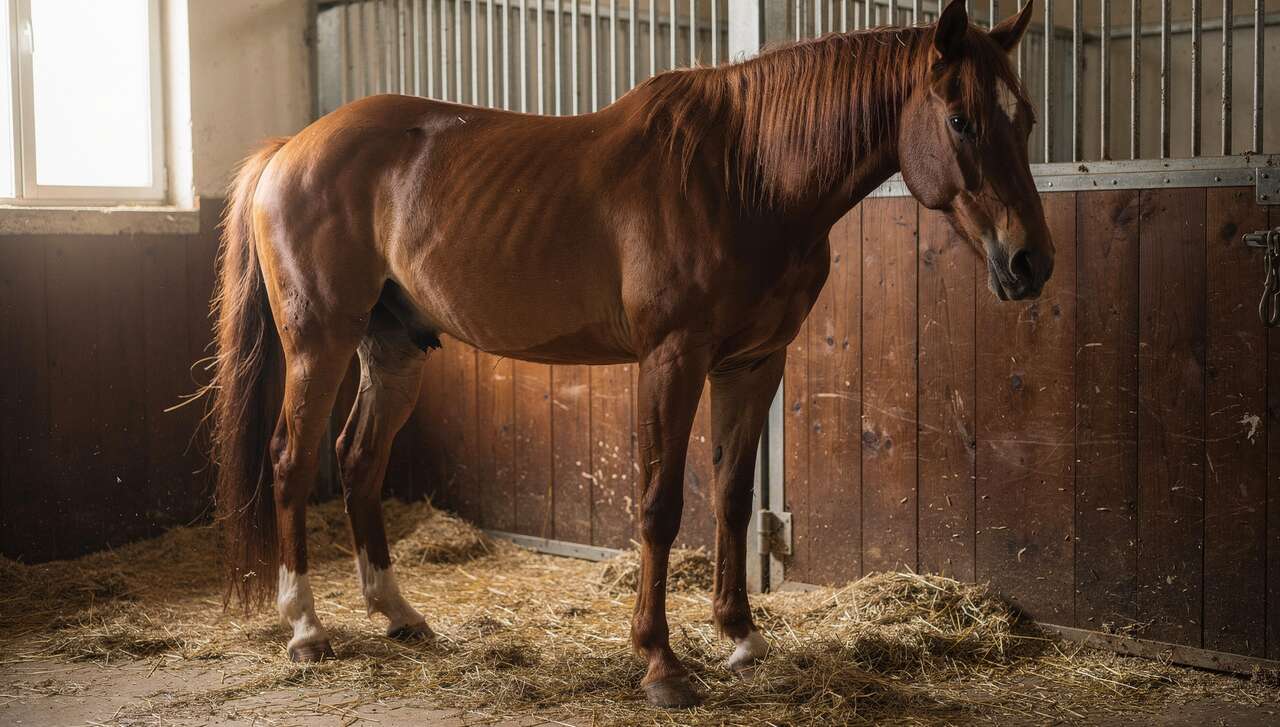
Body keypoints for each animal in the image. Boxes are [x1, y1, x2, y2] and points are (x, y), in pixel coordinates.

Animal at [208, 0, 1048, 707]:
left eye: (1027, 117)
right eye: (962, 119)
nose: (1030, 263)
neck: (747, 174)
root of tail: (290, 149)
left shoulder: (754, 363)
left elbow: (733, 497)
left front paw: (742, 639)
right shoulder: (672, 359)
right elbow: (659, 504)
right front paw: (661, 662)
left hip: (395, 347)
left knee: (358, 458)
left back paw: (397, 612)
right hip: (319, 340)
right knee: (291, 459)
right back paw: (307, 629)